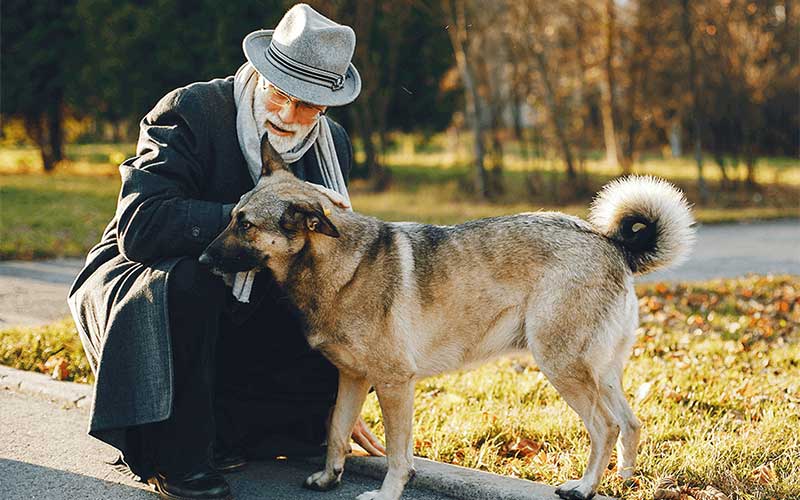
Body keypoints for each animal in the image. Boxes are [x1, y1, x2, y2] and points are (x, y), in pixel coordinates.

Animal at [200, 138, 692, 500]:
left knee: (605, 427)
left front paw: (387, 493)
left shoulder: (394, 384)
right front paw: (328, 477)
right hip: (600, 371)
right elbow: (338, 429)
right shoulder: (352, 380)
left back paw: (586, 487)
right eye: (233, 217)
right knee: (630, 423)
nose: (203, 259)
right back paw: (623, 478)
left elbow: (397, 454)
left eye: (246, 225)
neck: (338, 265)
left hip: (562, 366)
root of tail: (612, 243)